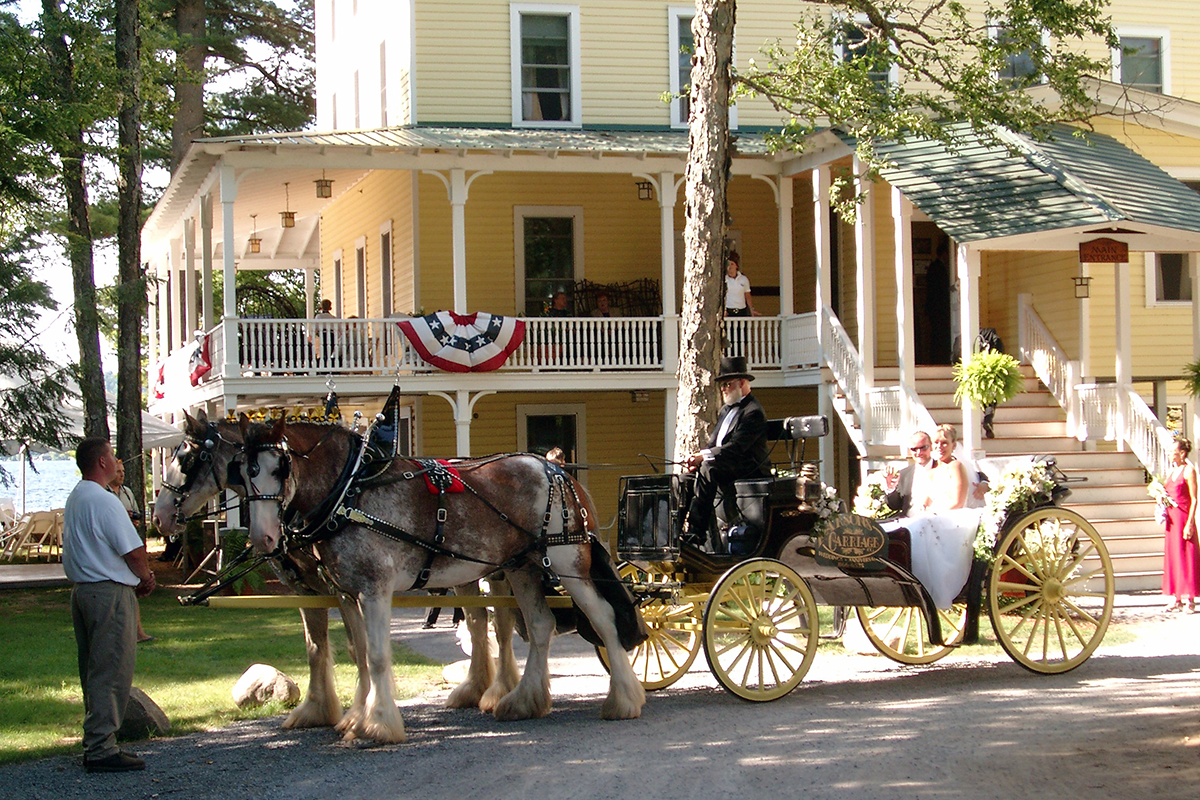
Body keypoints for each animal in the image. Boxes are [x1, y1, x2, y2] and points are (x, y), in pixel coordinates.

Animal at [236, 419, 648, 743]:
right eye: (244, 471)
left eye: (281, 468)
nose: (263, 537)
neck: (352, 492)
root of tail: (555, 468)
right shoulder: (347, 593)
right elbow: (361, 655)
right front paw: (355, 719)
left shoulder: (374, 589)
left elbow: (377, 656)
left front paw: (378, 725)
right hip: (524, 567)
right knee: (541, 625)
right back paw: (524, 701)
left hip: (566, 560)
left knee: (604, 618)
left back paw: (624, 700)